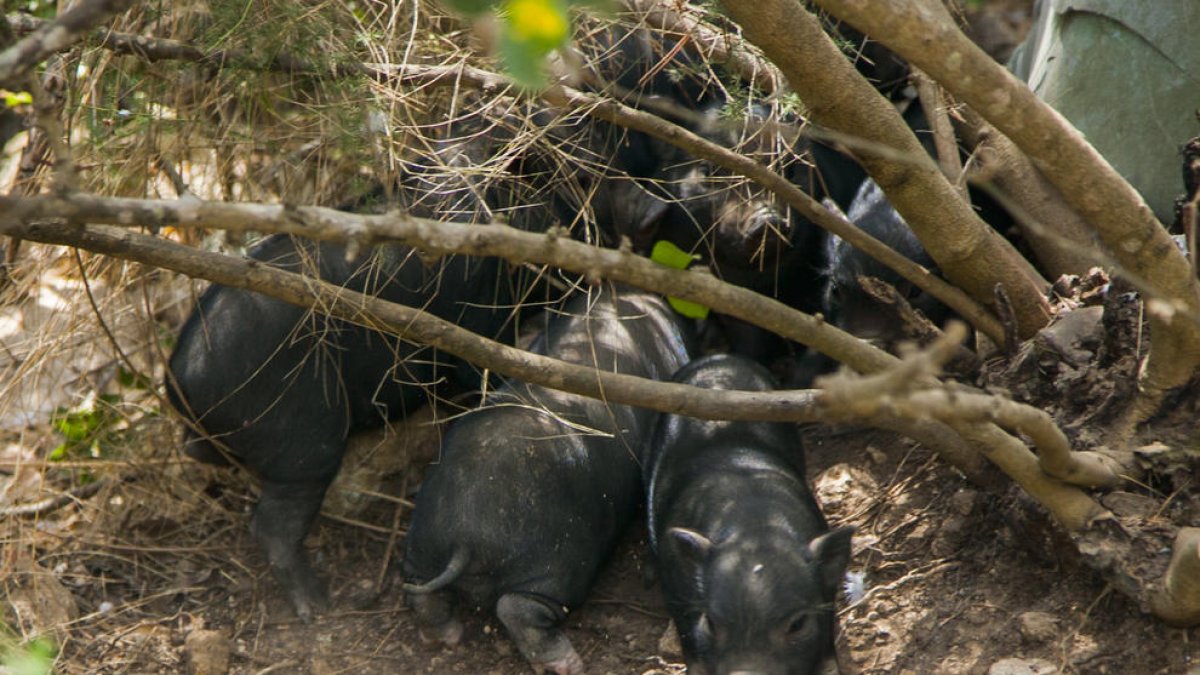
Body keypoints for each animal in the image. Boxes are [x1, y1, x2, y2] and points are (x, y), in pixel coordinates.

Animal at [403, 283, 696, 672]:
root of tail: (464, 538)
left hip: (423, 543)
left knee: (422, 591)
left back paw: (443, 639)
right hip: (555, 562)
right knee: (518, 607)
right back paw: (568, 664)